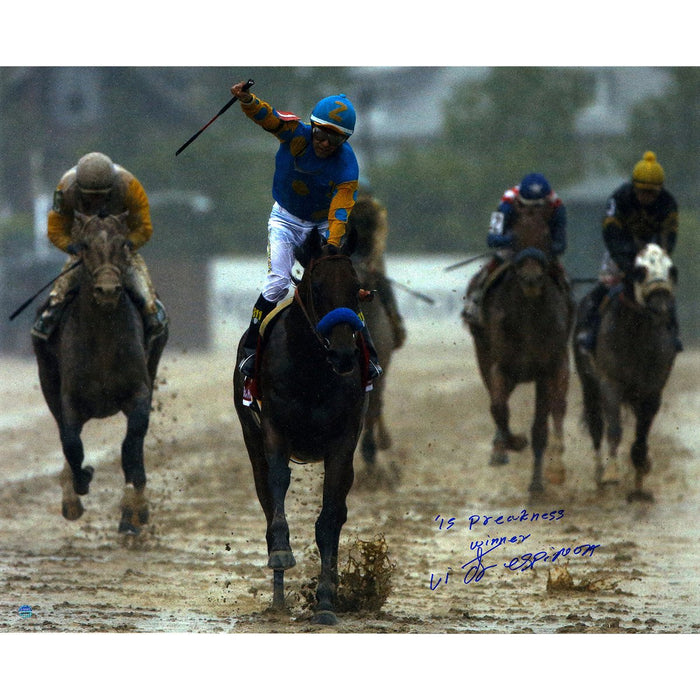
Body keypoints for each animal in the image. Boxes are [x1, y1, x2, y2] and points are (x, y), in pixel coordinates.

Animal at [33, 211, 169, 532]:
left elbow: (132, 445)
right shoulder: (69, 398)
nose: (107, 290)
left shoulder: (139, 392)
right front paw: (79, 484)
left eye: (123, 244)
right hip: (47, 380)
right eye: (83, 245)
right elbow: (71, 444)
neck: (104, 341)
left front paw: (134, 510)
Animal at [234, 228, 370, 624]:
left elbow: (329, 520)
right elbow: (278, 487)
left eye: (356, 287)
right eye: (318, 287)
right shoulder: (273, 429)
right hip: (251, 439)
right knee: (267, 499)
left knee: (338, 512)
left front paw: (325, 601)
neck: (311, 369)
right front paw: (281, 553)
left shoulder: (343, 440)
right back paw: (278, 596)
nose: (343, 354)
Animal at [464, 205, 576, 494]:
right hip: (485, 355)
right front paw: (511, 444)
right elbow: (498, 408)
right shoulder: (501, 366)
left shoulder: (546, 370)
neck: (528, 316)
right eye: (514, 236)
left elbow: (541, 428)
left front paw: (542, 479)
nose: (531, 278)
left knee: (559, 407)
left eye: (547, 235)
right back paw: (501, 447)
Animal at [576, 243, 680, 500]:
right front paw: (612, 473)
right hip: (589, 385)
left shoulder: (653, 389)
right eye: (640, 271)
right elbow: (614, 429)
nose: (661, 305)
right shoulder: (610, 382)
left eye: (671, 269)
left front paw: (641, 472)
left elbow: (642, 434)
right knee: (596, 425)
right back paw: (599, 474)